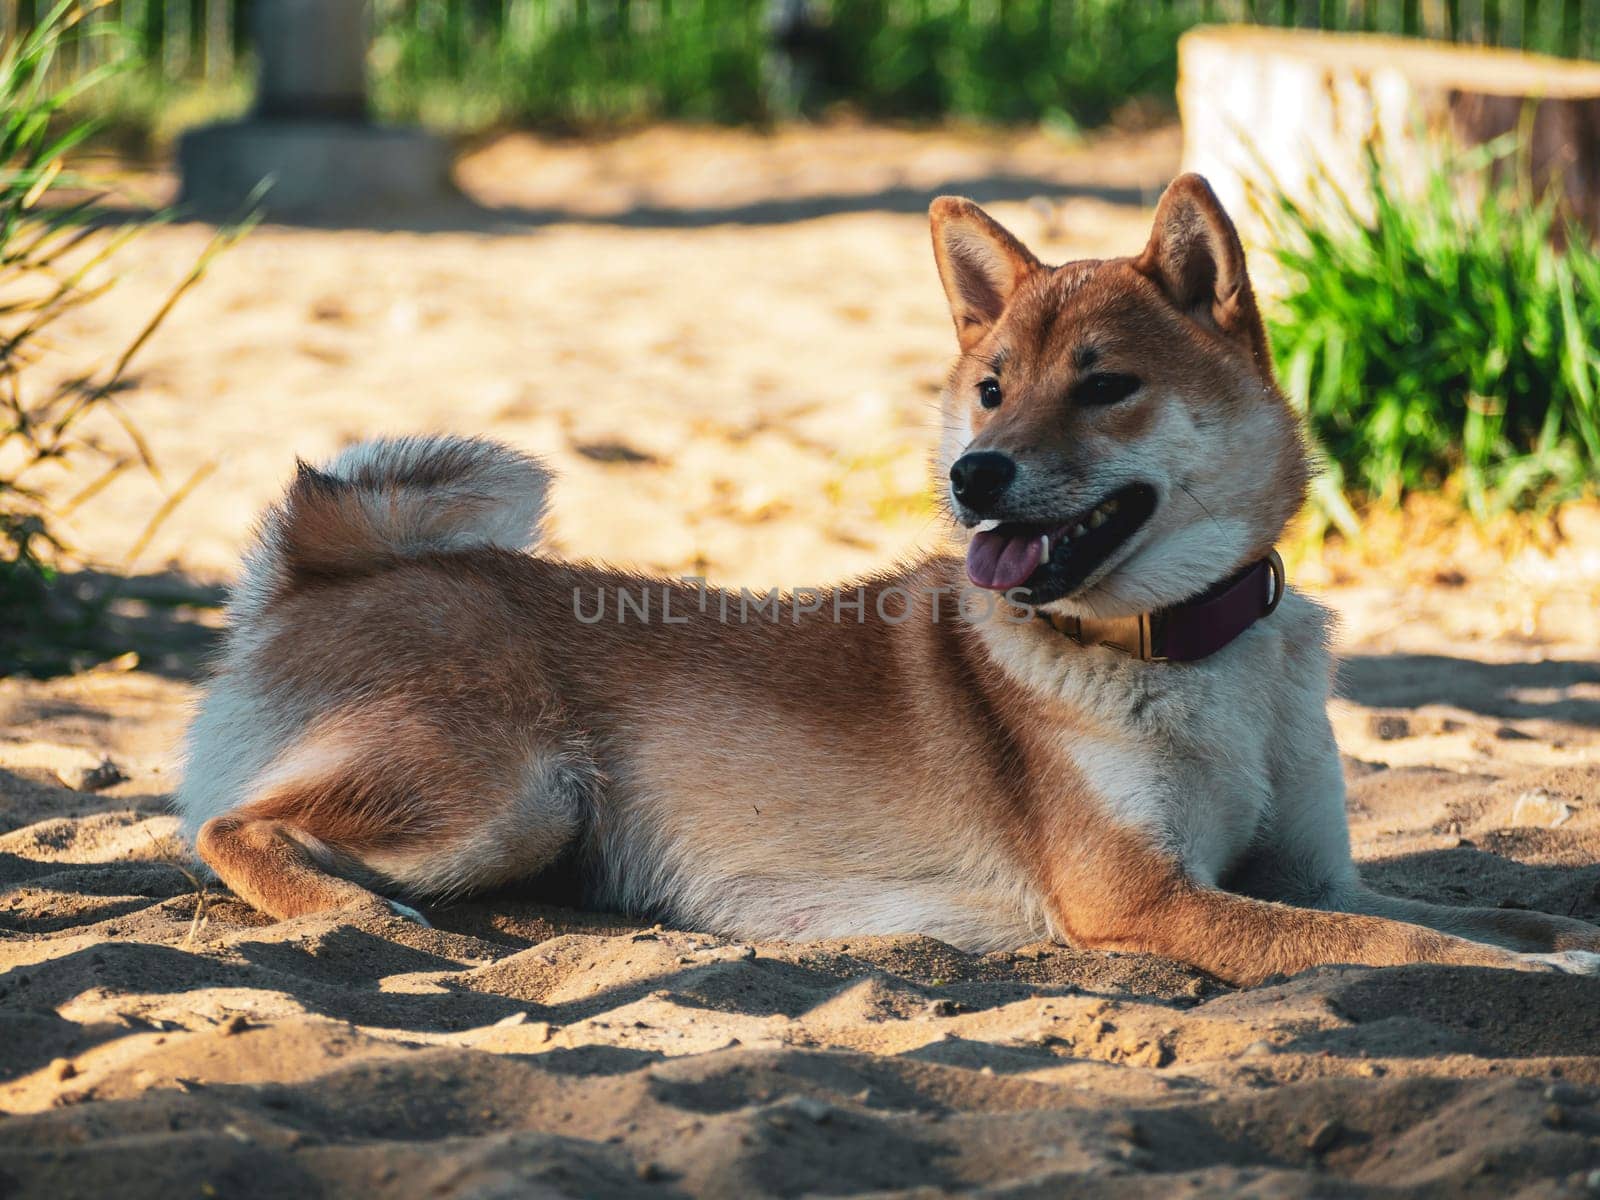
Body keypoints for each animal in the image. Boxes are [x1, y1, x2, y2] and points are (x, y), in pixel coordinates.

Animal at [178, 178, 1600, 985]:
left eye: (1105, 384)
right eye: (992, 387)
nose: (974, 472)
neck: (1188, 654)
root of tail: (308, 576)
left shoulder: (1315, 880)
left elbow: (1476, 918)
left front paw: (1561, 942)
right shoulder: (1146, 898)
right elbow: (1422, 949)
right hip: (510, 792)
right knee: (229, 828)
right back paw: (366, 920)